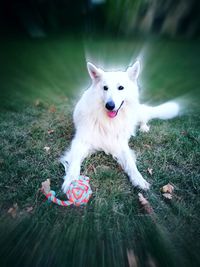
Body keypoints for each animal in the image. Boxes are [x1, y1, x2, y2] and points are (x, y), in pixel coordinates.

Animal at [60, 61, 179, 193]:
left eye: (121, 87)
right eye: (105, 88)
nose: (109, 106)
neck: (108, 121)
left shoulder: (121, 144)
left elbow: (131, 163)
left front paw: (139, 179)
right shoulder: (80, 142)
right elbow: (75, 163)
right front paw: (71, 181)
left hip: (137, 113)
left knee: (143, 117)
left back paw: (144, 128)